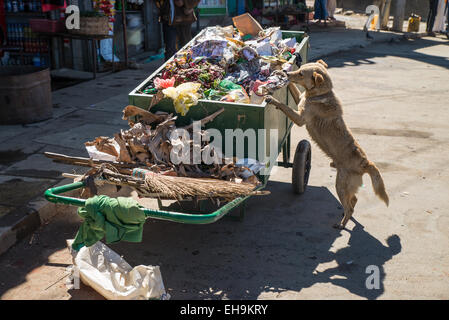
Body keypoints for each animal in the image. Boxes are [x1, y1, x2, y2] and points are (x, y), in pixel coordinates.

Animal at [264, 60, 386, 229]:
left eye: (301, 73)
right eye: (300, 69)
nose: (287, 72)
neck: (320, 94)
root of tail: (365, 163)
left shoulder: (300, 119)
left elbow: (284, 106)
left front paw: (273, 99)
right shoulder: (299, 98)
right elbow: (293, 88)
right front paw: (279, 70)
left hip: (340, 185)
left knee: (350, 206)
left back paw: (341, 224)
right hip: (347, 187)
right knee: (354, 200)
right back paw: (344, 216)